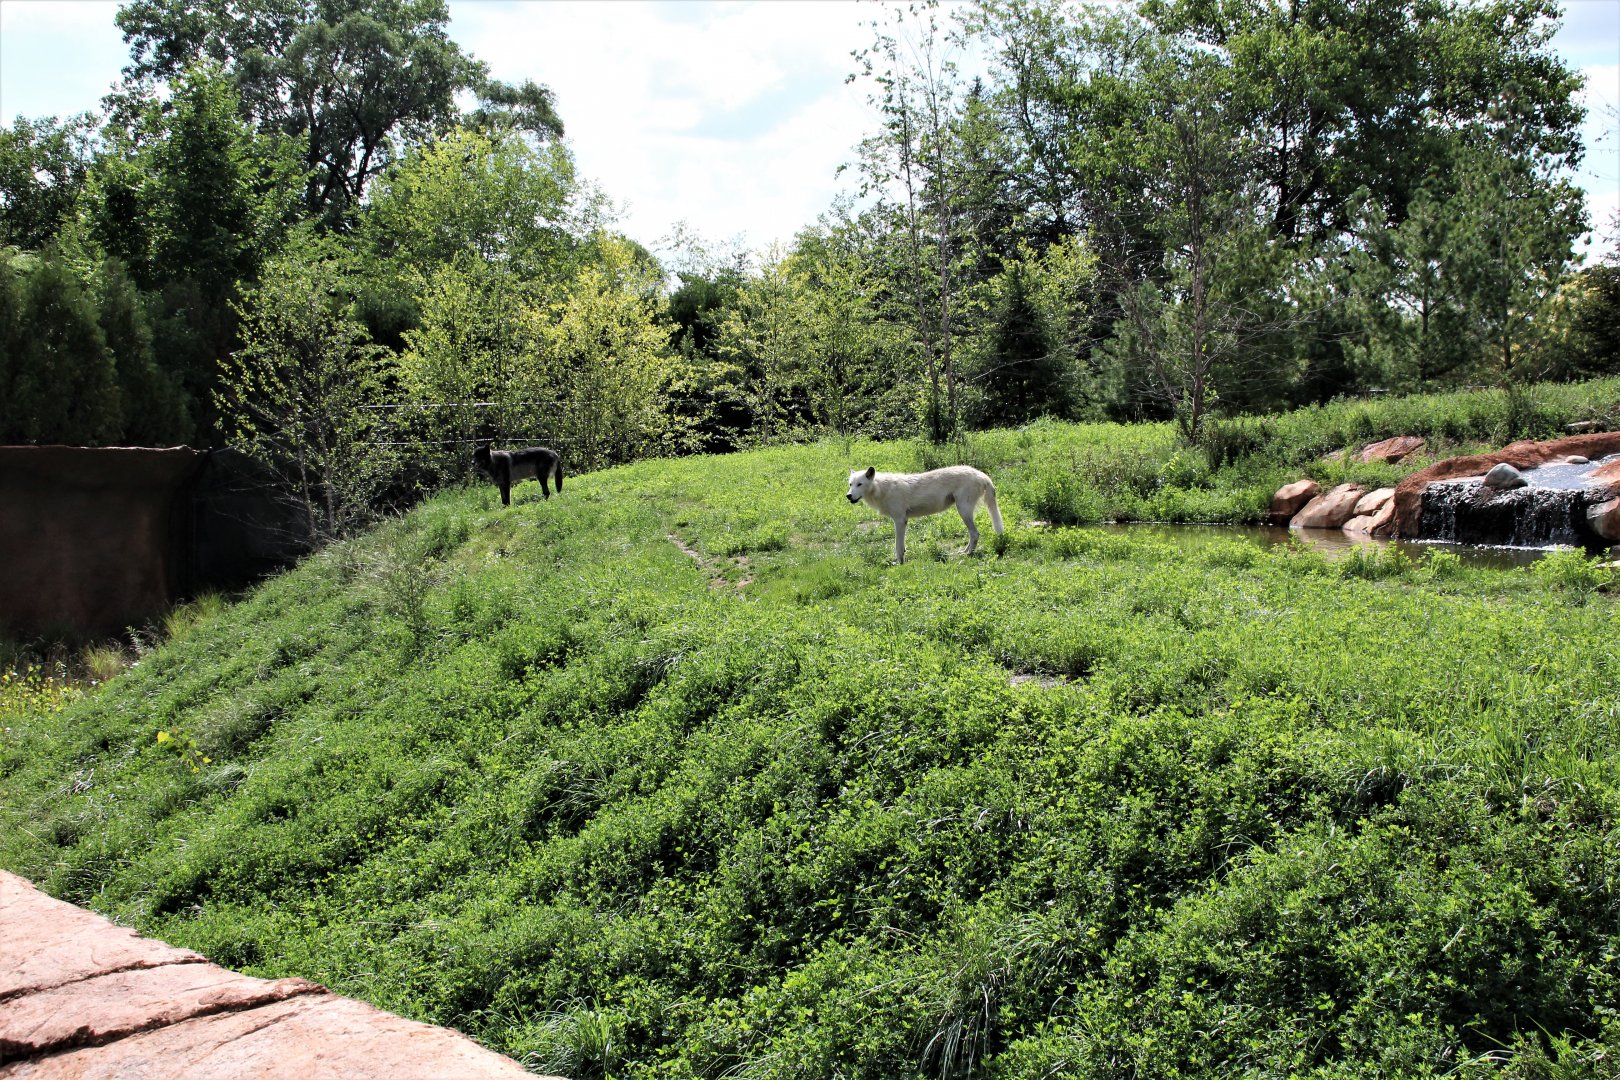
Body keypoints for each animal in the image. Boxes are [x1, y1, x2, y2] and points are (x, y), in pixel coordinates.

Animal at [846, 465, 1004, 564]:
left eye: (860, 484)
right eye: (850, 484)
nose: (848, 496)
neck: (881, 489)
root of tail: (981, 474)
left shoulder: (900, 521)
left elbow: (898, 547)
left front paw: (899, 564)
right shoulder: (902, 521)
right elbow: (902, 547)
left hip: (963, 511)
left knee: (975, 534)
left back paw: (969, 554)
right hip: (964, 512)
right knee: (972, 535)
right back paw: (964, 551)